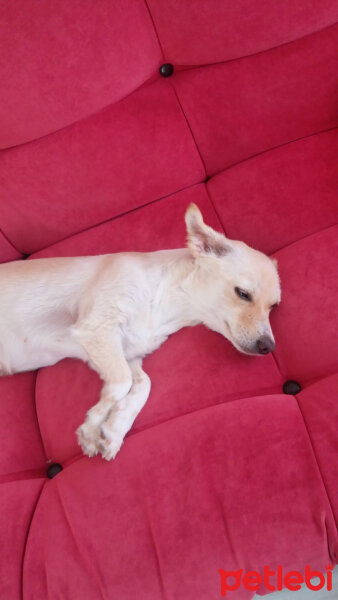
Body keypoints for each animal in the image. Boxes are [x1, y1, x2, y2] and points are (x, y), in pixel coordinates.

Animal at [0, 205, 280, 460]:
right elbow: (122, 382)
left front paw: (114, 430)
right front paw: (92, 427)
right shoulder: (96, 328)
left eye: (273, 306)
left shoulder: (124, 353)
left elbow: (142, 384)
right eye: (242, 293)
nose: (269, 346)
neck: (166, 307)